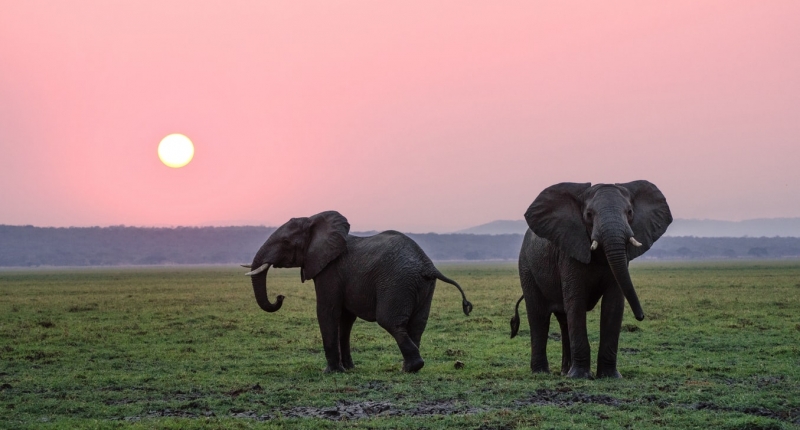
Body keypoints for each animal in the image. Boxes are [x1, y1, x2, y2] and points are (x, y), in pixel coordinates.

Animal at [241, 210, 472, 372]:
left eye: (286, 242)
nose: (280, 297)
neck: (314, 220)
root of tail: (427, 265)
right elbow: (345, 319)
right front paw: (349, 369)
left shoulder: (330, 270)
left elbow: (327, 311)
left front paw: (332, 372)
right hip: (422, 286)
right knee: (417, 324)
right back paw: (409, 368)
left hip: (397, 282)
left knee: (390, 321)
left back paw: (411, 368)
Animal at [510, 181, 672, 380]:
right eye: (588, 214)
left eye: (629, 212)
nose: (641, 316)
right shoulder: (570, 251)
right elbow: (576, 302)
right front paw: (580, 376)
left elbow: (613, 304)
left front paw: (610, 377)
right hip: (527, 267)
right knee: (539, 316)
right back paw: (541, 372)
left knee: (564, 320)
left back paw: (565, 372)